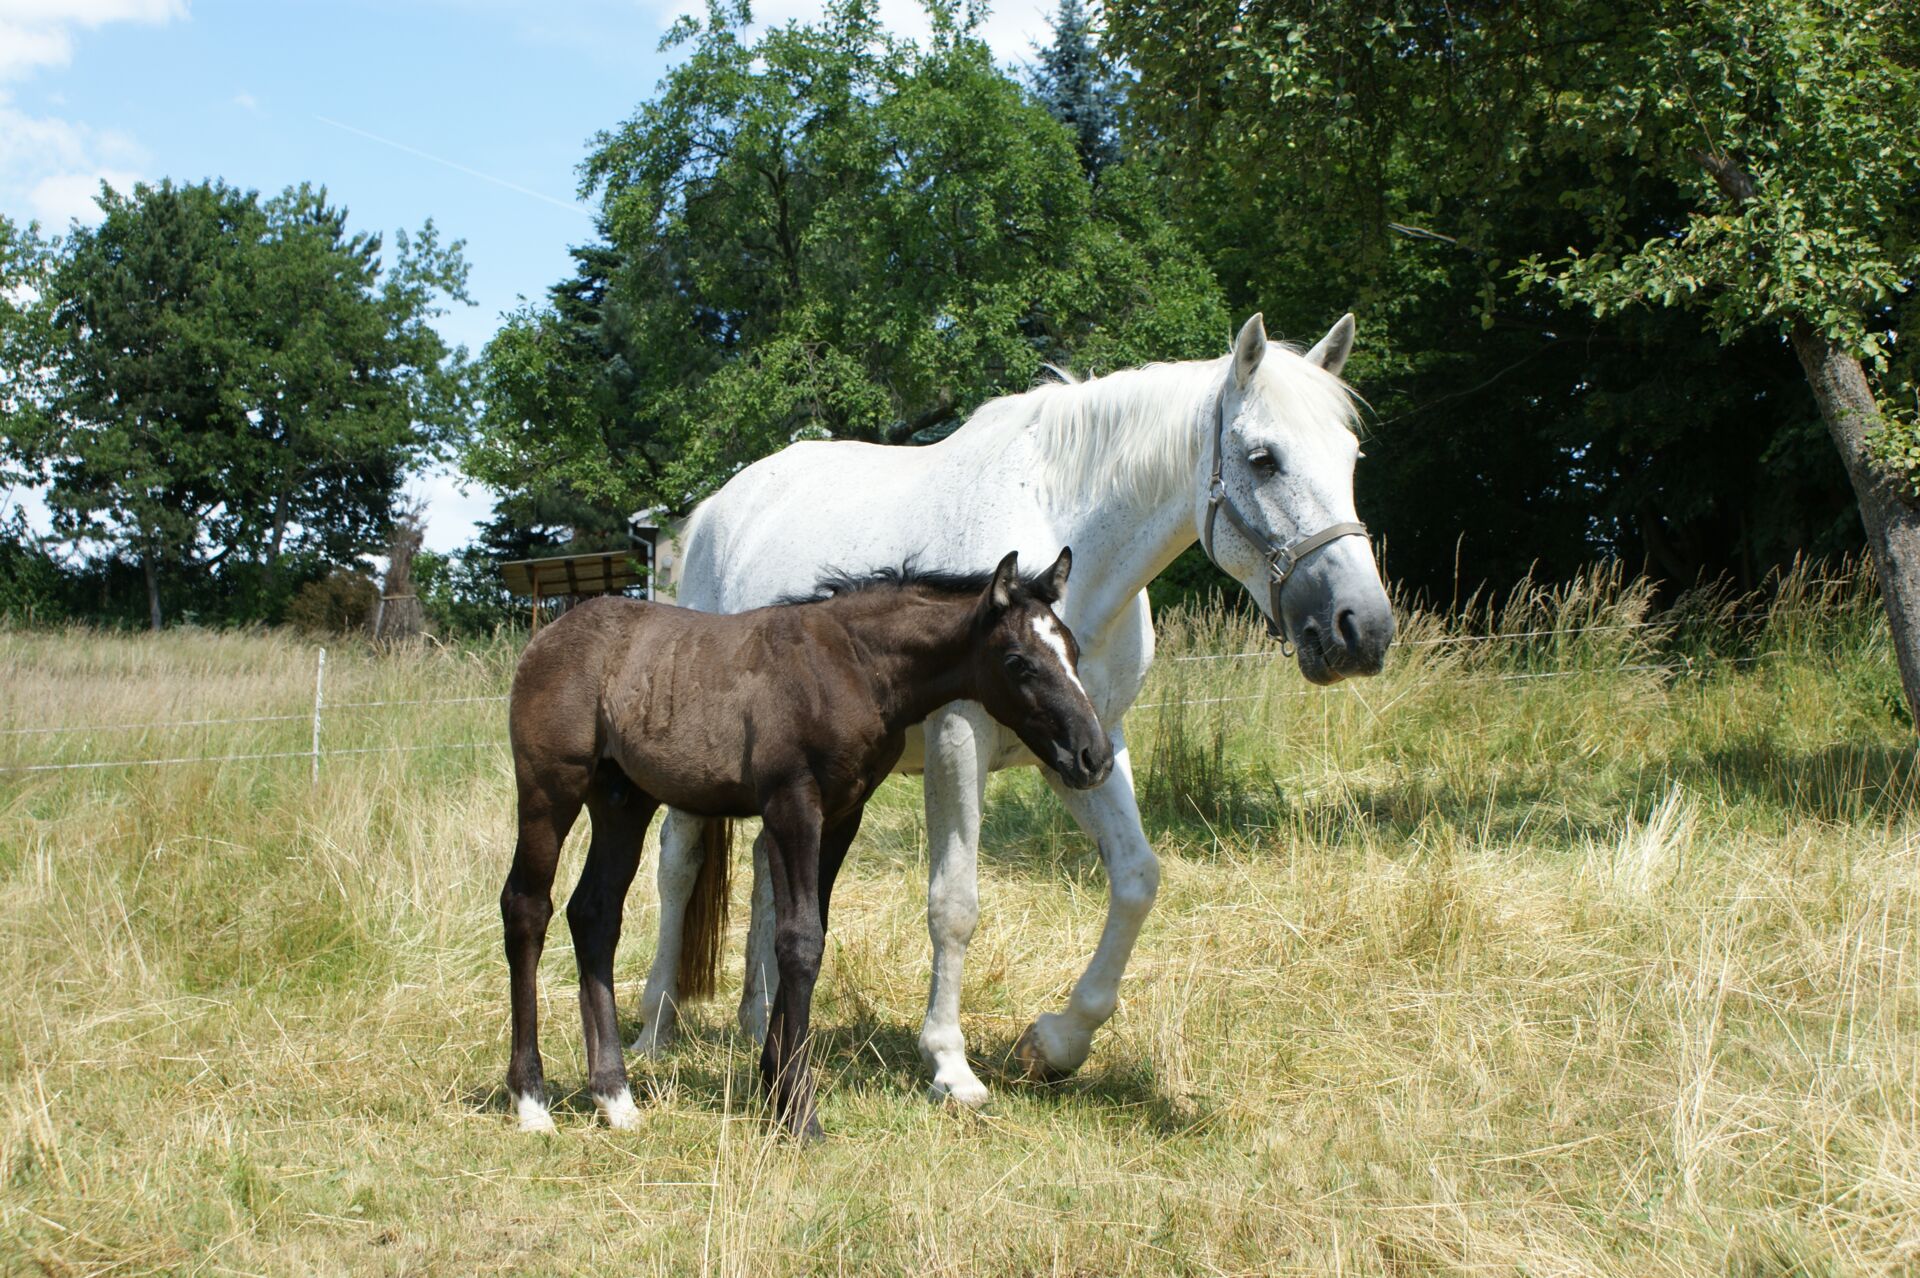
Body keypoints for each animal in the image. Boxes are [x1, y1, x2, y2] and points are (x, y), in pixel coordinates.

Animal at [503, 548, 1121, 1136]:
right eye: (1017, 661)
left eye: (1074, 650)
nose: (1093, 756)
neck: (851, 666)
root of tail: (546, 637)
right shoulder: (791, 803)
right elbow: (799, 941)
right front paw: (800, 1114)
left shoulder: (842, 813)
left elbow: (808, 932)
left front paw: (775, 1086)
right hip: (549, 790)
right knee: (526, 907)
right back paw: (532, 1102)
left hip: (622, 802)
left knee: (595, 914)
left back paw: (615, 1097)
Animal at [629, 312, 1397, 1097]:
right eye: (1263, 459)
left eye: (1352, 456)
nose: (1361, 628)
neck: (1060, 533)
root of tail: (714, 512)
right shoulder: (958, 741)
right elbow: (954, 903)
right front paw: (948, 1062)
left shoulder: (1090, 744)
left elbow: (1136, 879)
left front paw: (1057, 1042)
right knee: (678, 863)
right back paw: (655, 1031)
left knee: (763, 865)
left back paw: (758, 1023)